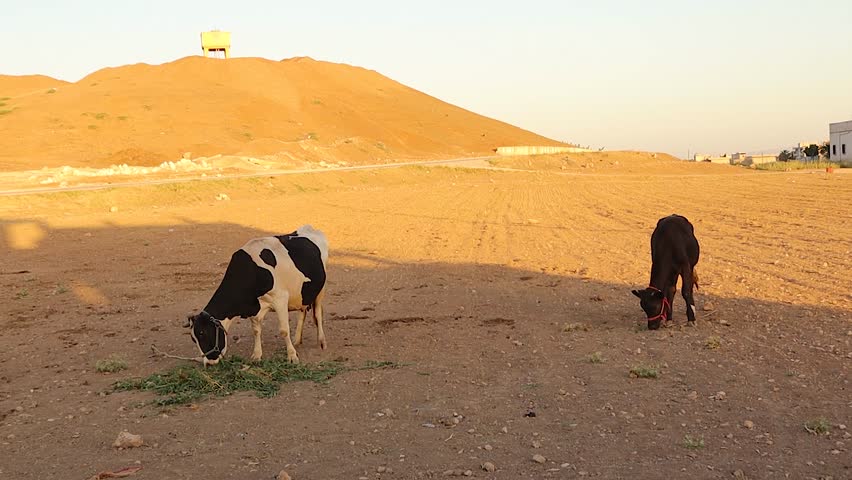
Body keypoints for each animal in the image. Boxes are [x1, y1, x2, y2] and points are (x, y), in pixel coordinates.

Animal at [186, 225, 328, 366]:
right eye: (193, 339)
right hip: (302, 292)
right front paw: (257, 355)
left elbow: (284, 330)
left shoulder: (280, 298)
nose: (209, 362)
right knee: (302, 311)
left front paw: (292, 356)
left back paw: (321, 341)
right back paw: (297, 340)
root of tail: (310, 228)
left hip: (320, 288)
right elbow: (256, 330)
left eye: (203, 333)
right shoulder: (254, 306)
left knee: (317, 313)